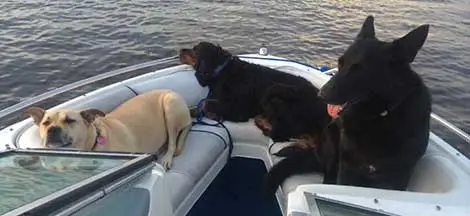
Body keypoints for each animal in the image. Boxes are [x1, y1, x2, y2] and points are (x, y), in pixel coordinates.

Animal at [23, 89, 193, 169]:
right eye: (45, 123)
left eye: (70, 120)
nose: (52, 129)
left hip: (170, 106)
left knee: (173, 140)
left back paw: (167, 156)